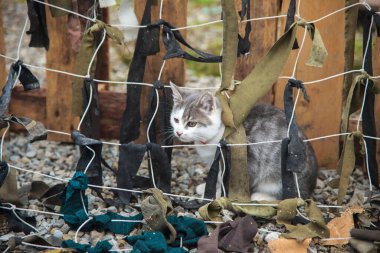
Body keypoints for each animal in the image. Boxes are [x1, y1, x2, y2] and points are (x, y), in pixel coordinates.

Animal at [170, 82, 318, 201]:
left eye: (192, 123)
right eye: (176, 120)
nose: (178, 132)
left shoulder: (245, 158)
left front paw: (217, 194)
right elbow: (219, 176)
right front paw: (208, 188)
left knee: (293, 196)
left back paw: (262, 196)